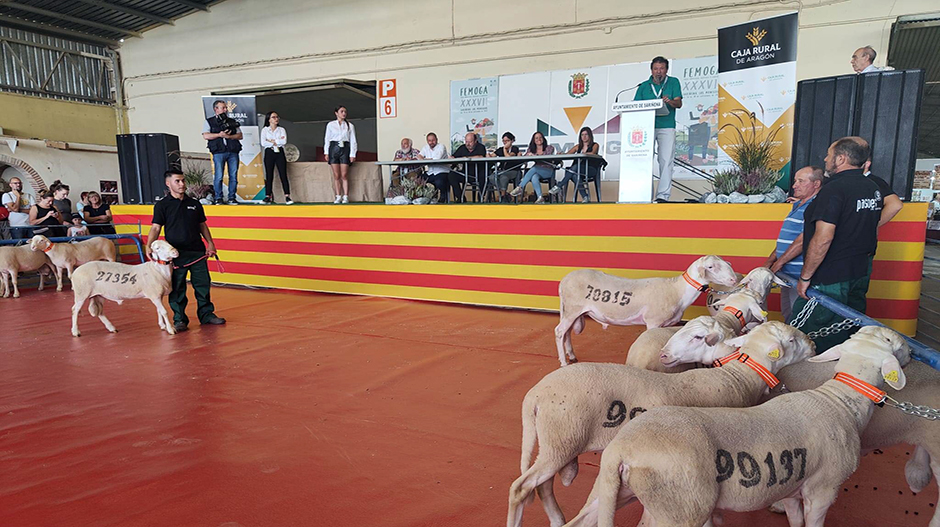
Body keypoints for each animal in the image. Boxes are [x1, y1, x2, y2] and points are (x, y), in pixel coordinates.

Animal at [504, 322, 812, 527]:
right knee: (522, 487)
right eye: (791, 340)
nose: (812, 342)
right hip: (562, 438)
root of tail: (535, 394)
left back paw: (557, 518)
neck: (735, 376)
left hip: (556, 440)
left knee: (542, 485)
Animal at [552, 256, 740, 368]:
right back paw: (564, 362)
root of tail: (564, 281)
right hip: (572, 309)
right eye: (711, 267)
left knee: (567, 333)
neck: (677, 290)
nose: (733, 280)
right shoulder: (653, 321)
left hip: (572, 311)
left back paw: (571, 355)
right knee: (560, 331)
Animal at [560, 326, 916, 527]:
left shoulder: (790, 488)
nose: (912, 349)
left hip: (615, 490)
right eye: (891, 341)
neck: (839, 400)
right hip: (680, 509)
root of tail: (622, 450)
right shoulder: (822, 489)